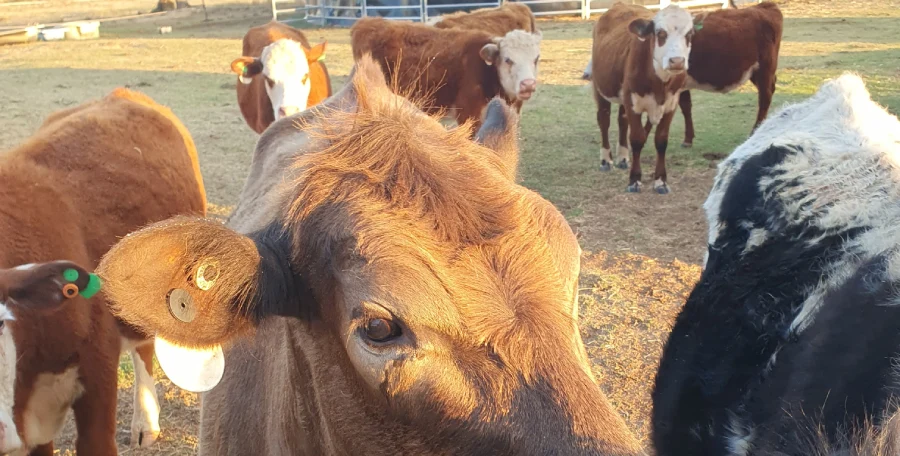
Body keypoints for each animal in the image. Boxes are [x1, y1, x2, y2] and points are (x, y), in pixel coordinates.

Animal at [582, 2, 783, 148]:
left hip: (765, 69)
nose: (587, 74)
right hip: (757, 73)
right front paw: (688, 138)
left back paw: (755, 131)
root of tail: (764, 7)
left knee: (764, 98)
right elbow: (686, 106)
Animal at [591, 3, 695, 194]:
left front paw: (661, 181)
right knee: (604, 120)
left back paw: (623, 157)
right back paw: (606, 160)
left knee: (622, 121)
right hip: (600, 88)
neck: (659, 81)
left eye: (689, 34)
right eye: (660, 33)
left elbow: (661, 141)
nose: (676, 61)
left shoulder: (671, 104)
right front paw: (634, 180)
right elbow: (637, 139)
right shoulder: (633, 102)